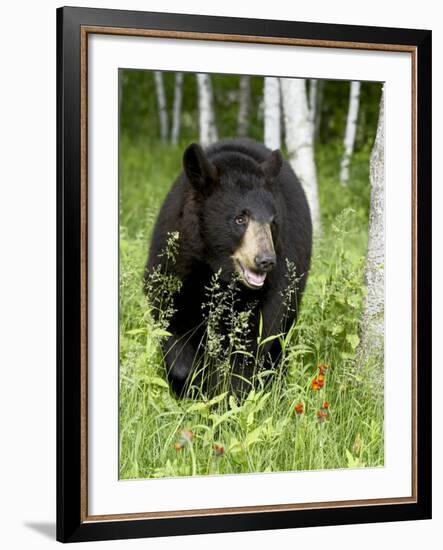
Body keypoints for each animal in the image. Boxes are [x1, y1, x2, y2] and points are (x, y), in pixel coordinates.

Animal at [145, 136, 312, 398]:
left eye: (272, 222)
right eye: (240, 219)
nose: (266, 260)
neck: (216, 270)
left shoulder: (274, 287)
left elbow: (249, 346)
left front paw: (226, 396)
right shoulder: (175, 264)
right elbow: (171, 320)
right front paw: (189, 383)